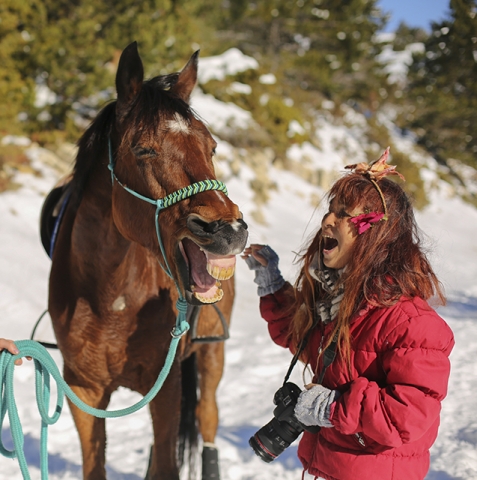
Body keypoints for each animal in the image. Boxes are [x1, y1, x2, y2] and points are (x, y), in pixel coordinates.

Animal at [44, 41, 247, 480]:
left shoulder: (165, 386)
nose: (228, 230)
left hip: (211, 357)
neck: (109, 298)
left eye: (211, 147)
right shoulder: (85, 392)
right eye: (144, 149)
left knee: (207, 418)